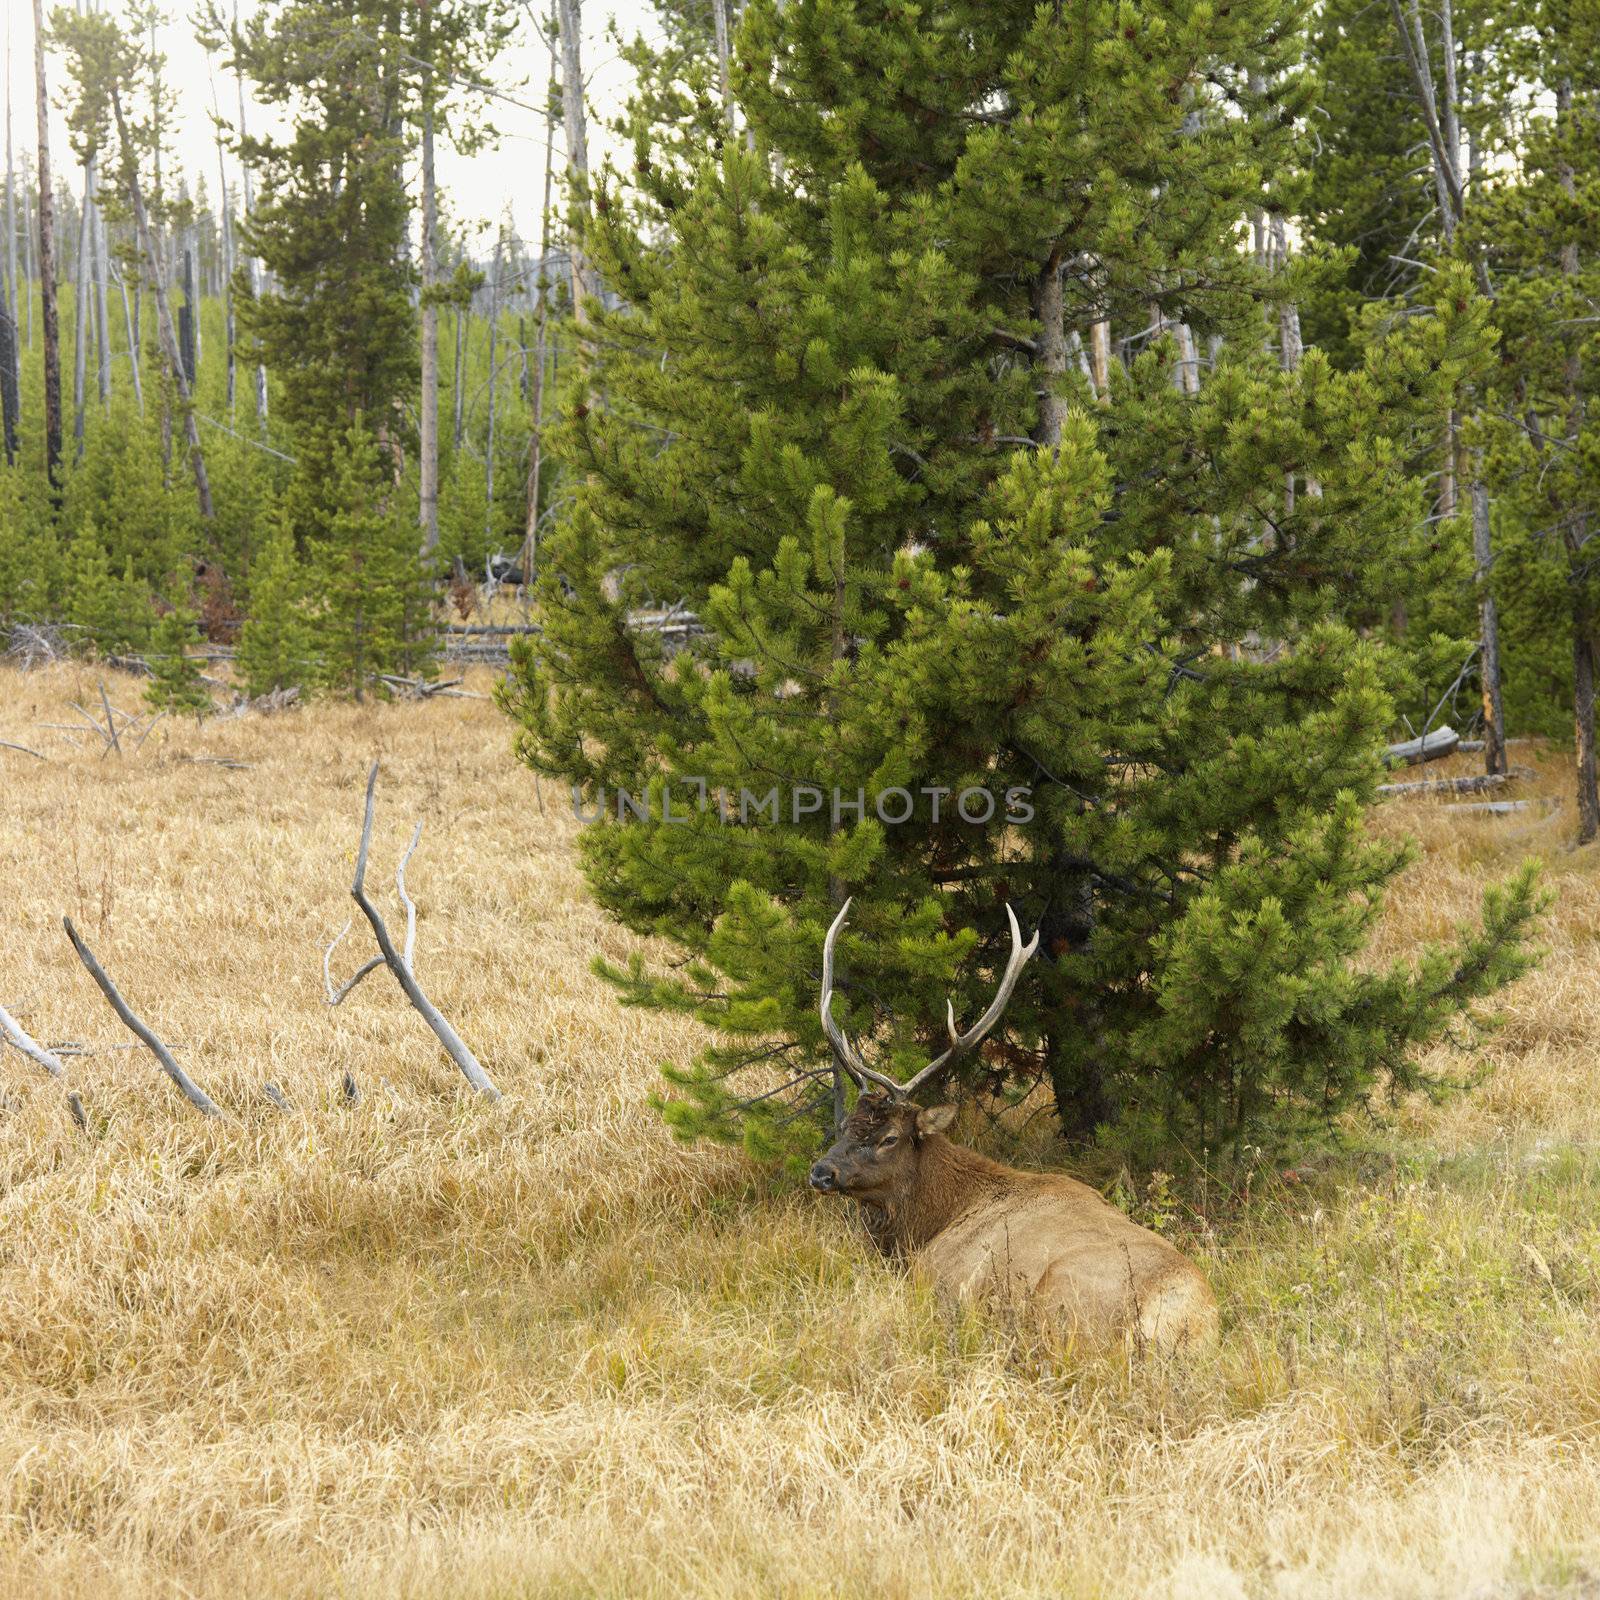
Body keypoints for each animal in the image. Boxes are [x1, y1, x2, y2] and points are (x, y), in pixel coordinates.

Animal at [806, 902, 1216, 1350]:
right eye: (845, 1125)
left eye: (890, 1138)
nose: (821, 1172)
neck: (933, 1219)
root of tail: (1178, 1318)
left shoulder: (936, 1276)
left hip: (1059, 1295)